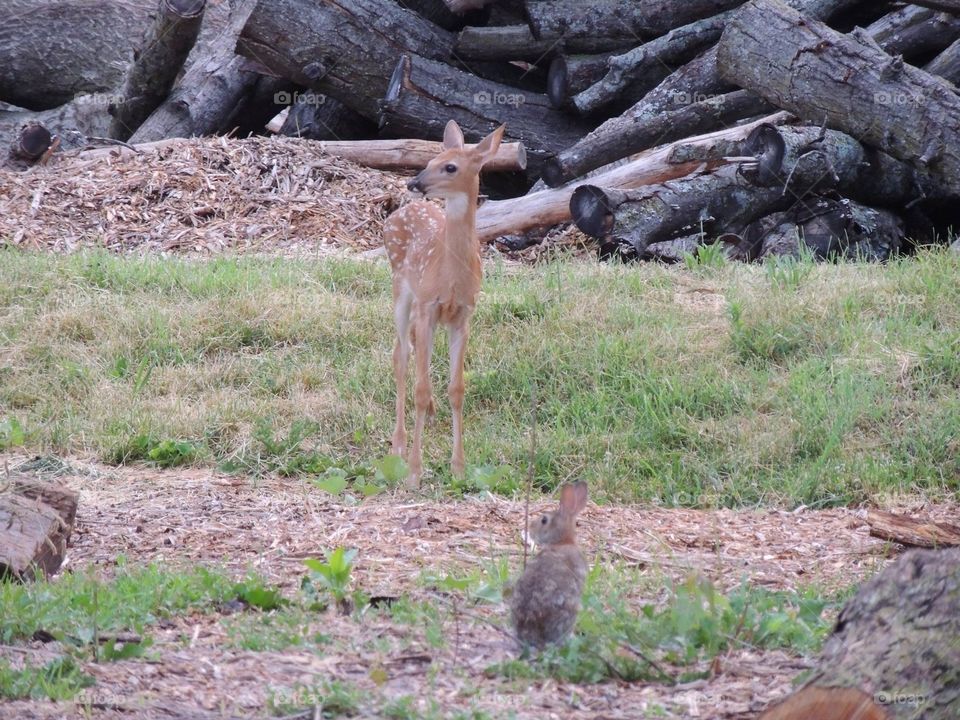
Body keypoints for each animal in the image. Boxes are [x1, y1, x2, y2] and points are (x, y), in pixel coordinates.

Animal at [383, 120, 505, 487]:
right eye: (430, 159)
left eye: (450, 166)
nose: (414, 182)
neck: (450, 276)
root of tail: (399, 211)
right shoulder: (428, 305)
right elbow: (420, 388)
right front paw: (414, 471)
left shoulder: (462, 314)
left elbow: (457, 388)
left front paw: (459, 467)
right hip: (401, 287)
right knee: (400, 353)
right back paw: (398, 443)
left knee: (411, 348)